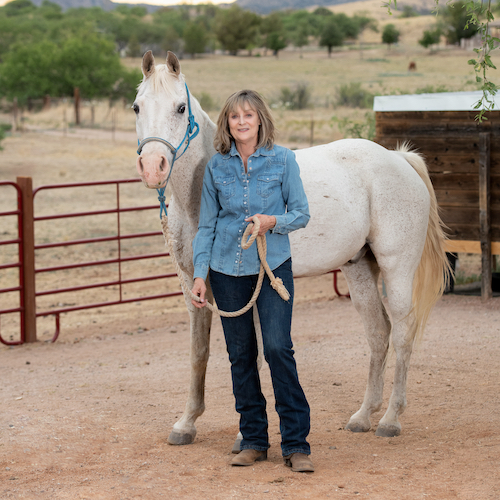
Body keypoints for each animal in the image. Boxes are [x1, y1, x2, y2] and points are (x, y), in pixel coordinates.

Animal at [133, 52, 450, 446]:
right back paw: (363, 415)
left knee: (404, 332)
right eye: (136, 107)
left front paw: (246, 434)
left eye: (179, 108)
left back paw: (390, 420)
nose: (153, 167)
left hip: (397, 270)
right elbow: (199, 352)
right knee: (379, 334)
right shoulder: (194, 286)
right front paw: (187, 423)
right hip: (359, 268)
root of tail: (399, 159)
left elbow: (252, 356)